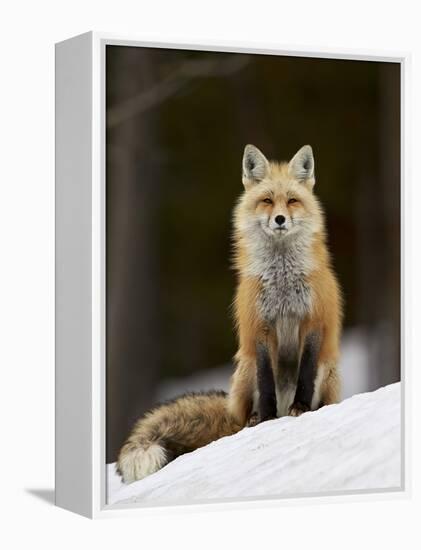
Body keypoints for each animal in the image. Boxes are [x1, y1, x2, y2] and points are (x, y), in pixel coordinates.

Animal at [115, 146, 342, 484]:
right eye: (266, 200)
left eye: (291, 200)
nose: (279, 219)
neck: (282, 280)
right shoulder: (258, 328)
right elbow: (266, 380)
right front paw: (266, 419)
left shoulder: (313, 322)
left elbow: (305, 373)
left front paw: (301, 408)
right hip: (243, 370)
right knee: (246, 408)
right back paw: (252, 419)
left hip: (328, 371)